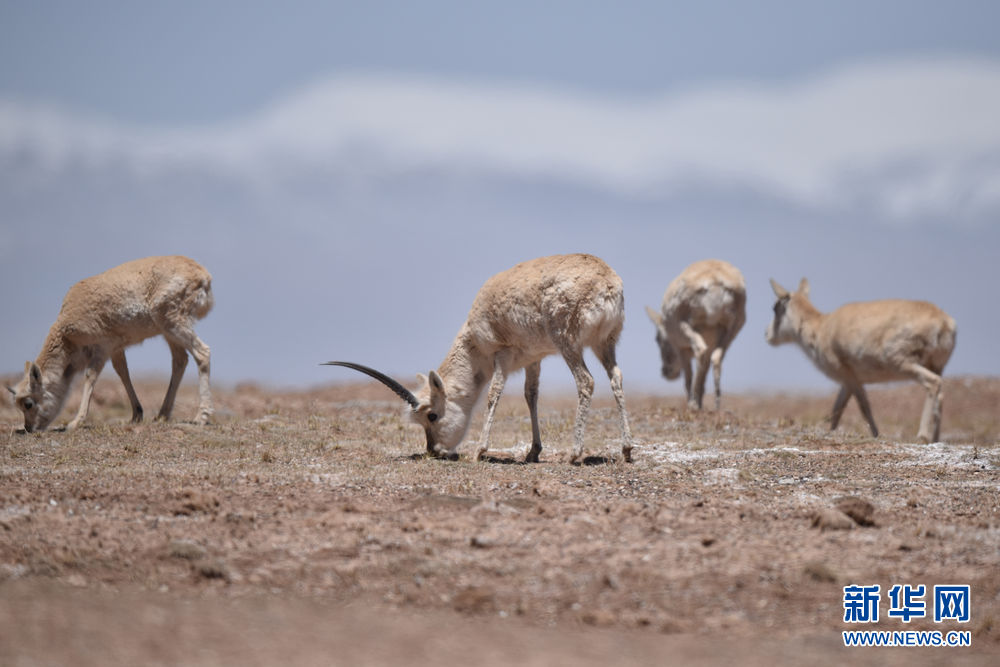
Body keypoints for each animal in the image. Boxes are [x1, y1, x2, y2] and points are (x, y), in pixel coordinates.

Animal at [8, 256, 214, 432]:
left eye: (28, 403)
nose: (29, 428)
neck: (66, 335)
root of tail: (203, 274)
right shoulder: (116, 349)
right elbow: (123, 372)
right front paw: (136, 415)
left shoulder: (102, 348)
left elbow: (90, 376)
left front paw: (75, 422)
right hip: (168, 330)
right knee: (180, 360)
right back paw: (162, 415)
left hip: (172, 323)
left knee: (202, 352)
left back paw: (201, 417)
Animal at [325, 254, 636, 464]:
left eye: (432, 415)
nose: (434, 451)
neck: (472, 339)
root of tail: (608, 282)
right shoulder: (533, 359)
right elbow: (531, 395)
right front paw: (533, 452)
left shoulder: (501, 354)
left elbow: (493, 393)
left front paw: (480, 449)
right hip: (605, 343)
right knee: (616, 378)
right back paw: (627, 450)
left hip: (568, 342)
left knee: (586, 382)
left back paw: (574, 453)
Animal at [645, 259, 746, 410]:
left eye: (657, 339)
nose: (665, 371)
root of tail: (715, 279)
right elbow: (703, 374)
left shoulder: (680, 348)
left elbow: (688, 377)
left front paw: (693, 403)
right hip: (731, 331)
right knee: (717, 357)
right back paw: (716, 405)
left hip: (686, 327)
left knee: (700, 350)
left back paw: (693, 403)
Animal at [765, 278, 957, 443]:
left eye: (775, 307)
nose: (766, 335)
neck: (821, 328)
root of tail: (944, 321)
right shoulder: (848, 381)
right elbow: (838, 407)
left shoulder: (850, 377)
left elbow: (863, 407)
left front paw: (876, 434)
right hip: (936, 366)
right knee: (941, 394)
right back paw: (936, 438)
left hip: (902, 364)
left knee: (933, 383)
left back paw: (922, 436)